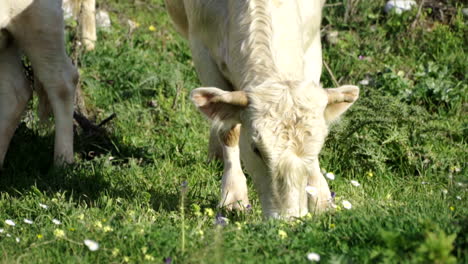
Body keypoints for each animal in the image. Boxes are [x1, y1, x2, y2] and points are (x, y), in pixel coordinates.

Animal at [166, 0, 360, 219]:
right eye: (256, 149)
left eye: (318, 147)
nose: (288, 219)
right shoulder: (202, 52)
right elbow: (228, 130)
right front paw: (233, 195)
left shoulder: (312, 47)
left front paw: (321, 197)